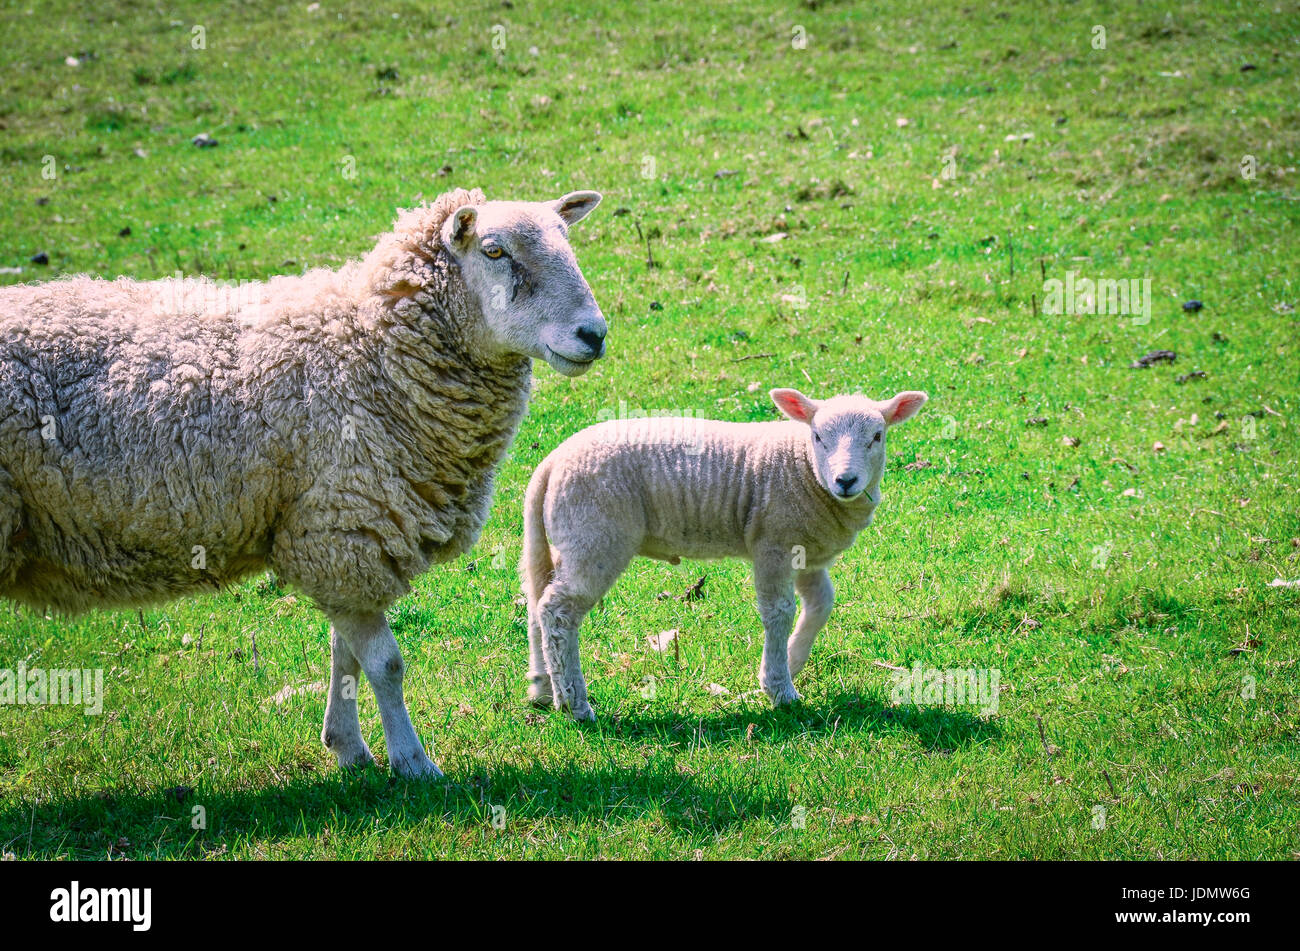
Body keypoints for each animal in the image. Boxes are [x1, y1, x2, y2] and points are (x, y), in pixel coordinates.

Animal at [0, 187, 608, 778]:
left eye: (567, 239)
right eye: (494, 251)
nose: (594, 334)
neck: (369, 351)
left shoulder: (342, 535)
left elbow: (347, 657)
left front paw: (348, 748)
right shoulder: (343, 529)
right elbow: (386, 663)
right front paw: (413, 763)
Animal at [520, 387, 928, 720]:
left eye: (877, 436)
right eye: (817, 436)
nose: (846, 481)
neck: (802, 468)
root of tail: (551, 463)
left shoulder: (807, 551)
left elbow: (821, 604)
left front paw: (793, 660)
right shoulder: (774, 543)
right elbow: (779, 612)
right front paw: (779, 689)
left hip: (567, 539)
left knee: (537, 603)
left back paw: (542, 689)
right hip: (597, 535)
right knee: (558, 611)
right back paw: (574, 705)